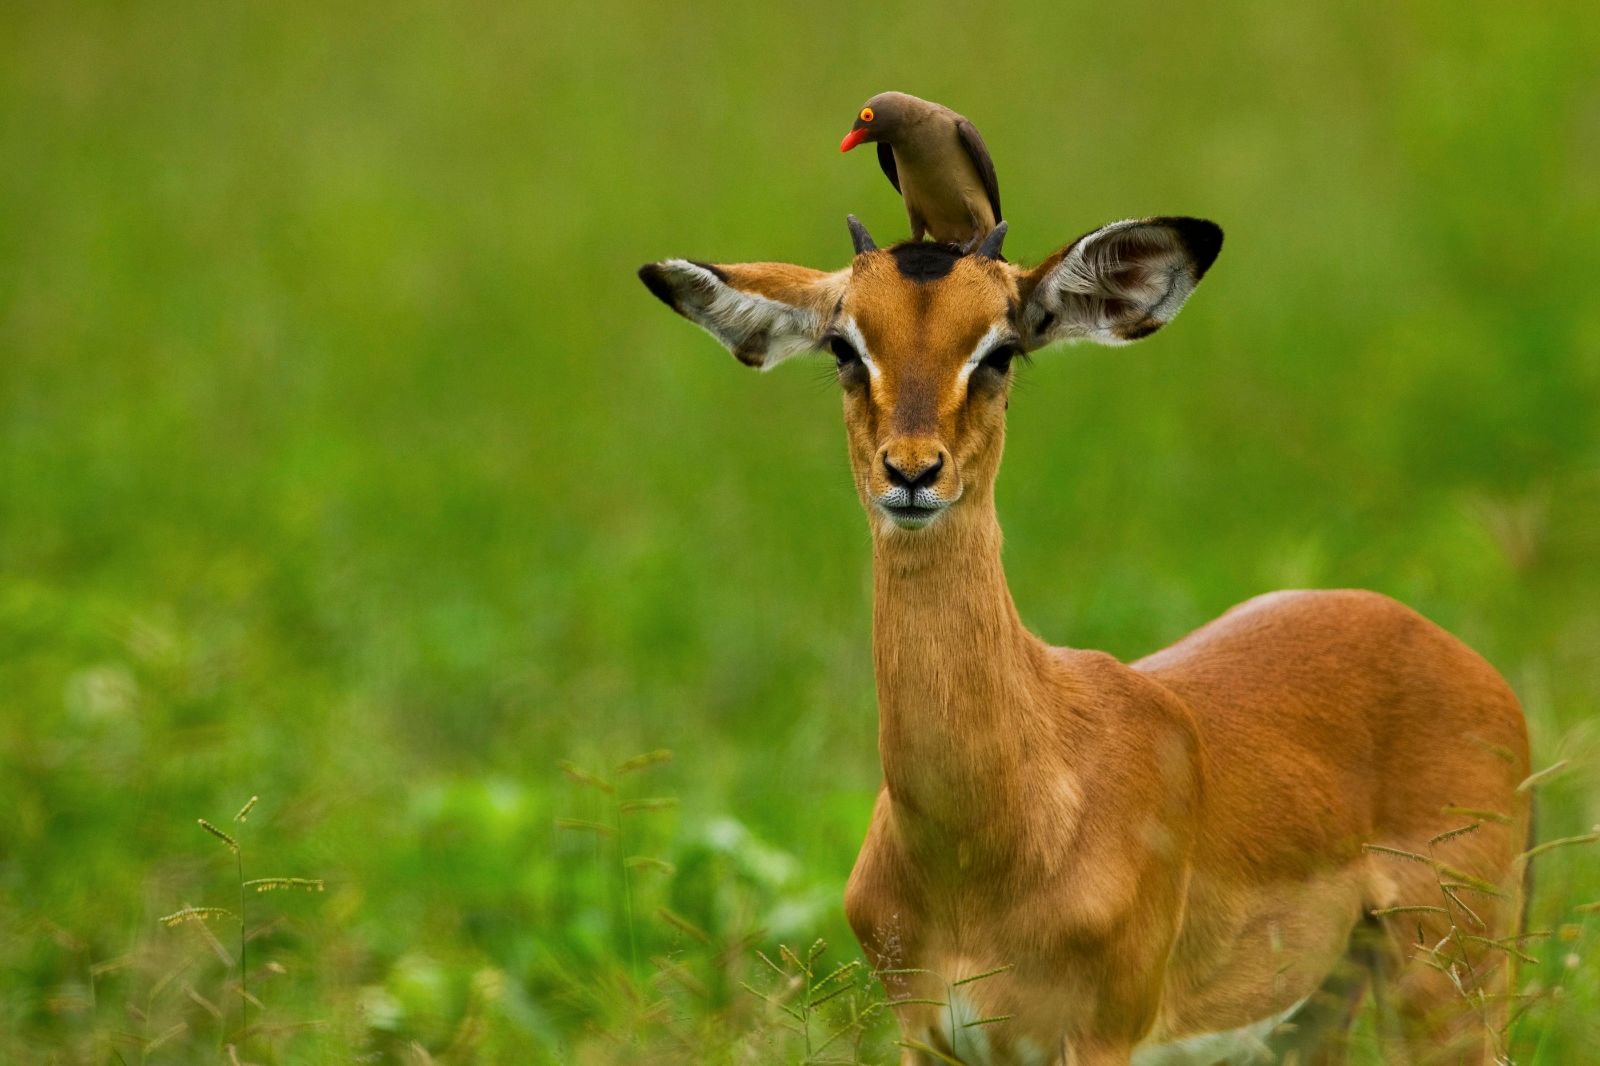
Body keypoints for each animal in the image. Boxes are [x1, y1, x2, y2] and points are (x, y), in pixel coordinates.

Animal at [638, 215, 1531, 1065]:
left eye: (999, 350)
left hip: (1451, 987)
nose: (913, 471)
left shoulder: (1100, 1038)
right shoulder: (927, 1040)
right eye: (844, 345)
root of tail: (1448, 649)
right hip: (1313, 1016)